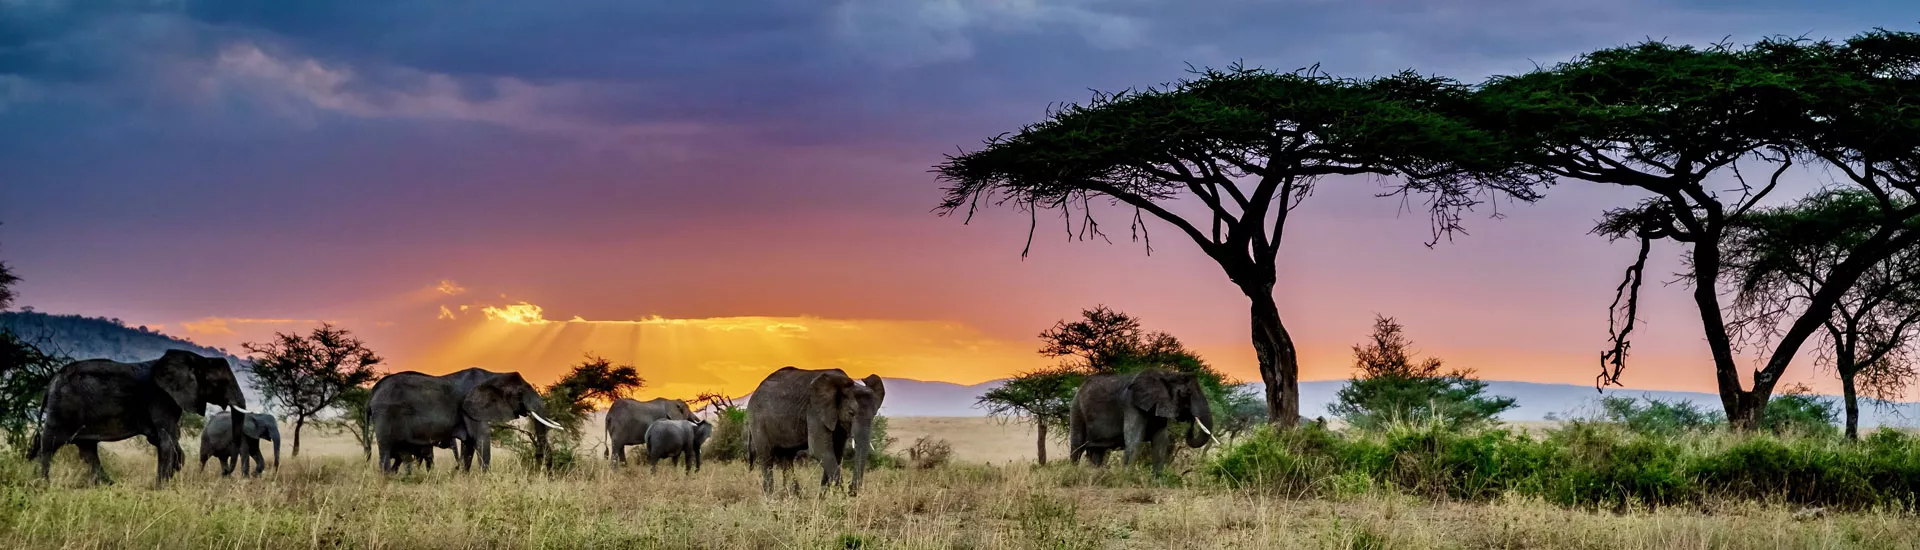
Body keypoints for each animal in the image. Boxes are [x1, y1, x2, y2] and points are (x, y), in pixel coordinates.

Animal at [31, 350, 251, 488]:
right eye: (220, 382)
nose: (227, 473)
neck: (195, 359)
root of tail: (51, 381)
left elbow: (168, 439)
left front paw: (171, 474)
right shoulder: (161, 398)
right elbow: (165, 439)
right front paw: (161, 486)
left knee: (87, 449)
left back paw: (109, 485)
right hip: (62, 408)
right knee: (50, 444)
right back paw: (44, 484)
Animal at [364, 365, 560, 473]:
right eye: (519, 393)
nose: (543, 463)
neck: (495, 374)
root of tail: (372, 394)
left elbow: (469, 445)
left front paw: (465, 478)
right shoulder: (470, 407)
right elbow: (481, 438)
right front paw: (486, 479)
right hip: (385, 413)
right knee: (386, 448)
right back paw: (386, 478)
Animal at [741, 367, 883, 496]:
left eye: (874, 415)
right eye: (851, 413)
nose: (852, 489)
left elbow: (835, 452)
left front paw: (824, 499)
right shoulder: (815, 410)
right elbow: (820, 450)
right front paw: (841, 497)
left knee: (787, 458)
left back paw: (794, 497)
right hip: (757, 420)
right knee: (766, 456)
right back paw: (770, 498)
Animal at [1067, 369, 1213, 476]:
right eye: (1186, 394)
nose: (1191, 420)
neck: (1166, 374)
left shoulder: (1156, 406)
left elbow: (1160, 441)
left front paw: (1157, 480)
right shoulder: (1131, 405)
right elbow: (1134, 439)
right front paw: (1125, 479)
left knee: (1097, 452)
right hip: (1076, 409)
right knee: (1077, 446)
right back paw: (1072, 473)